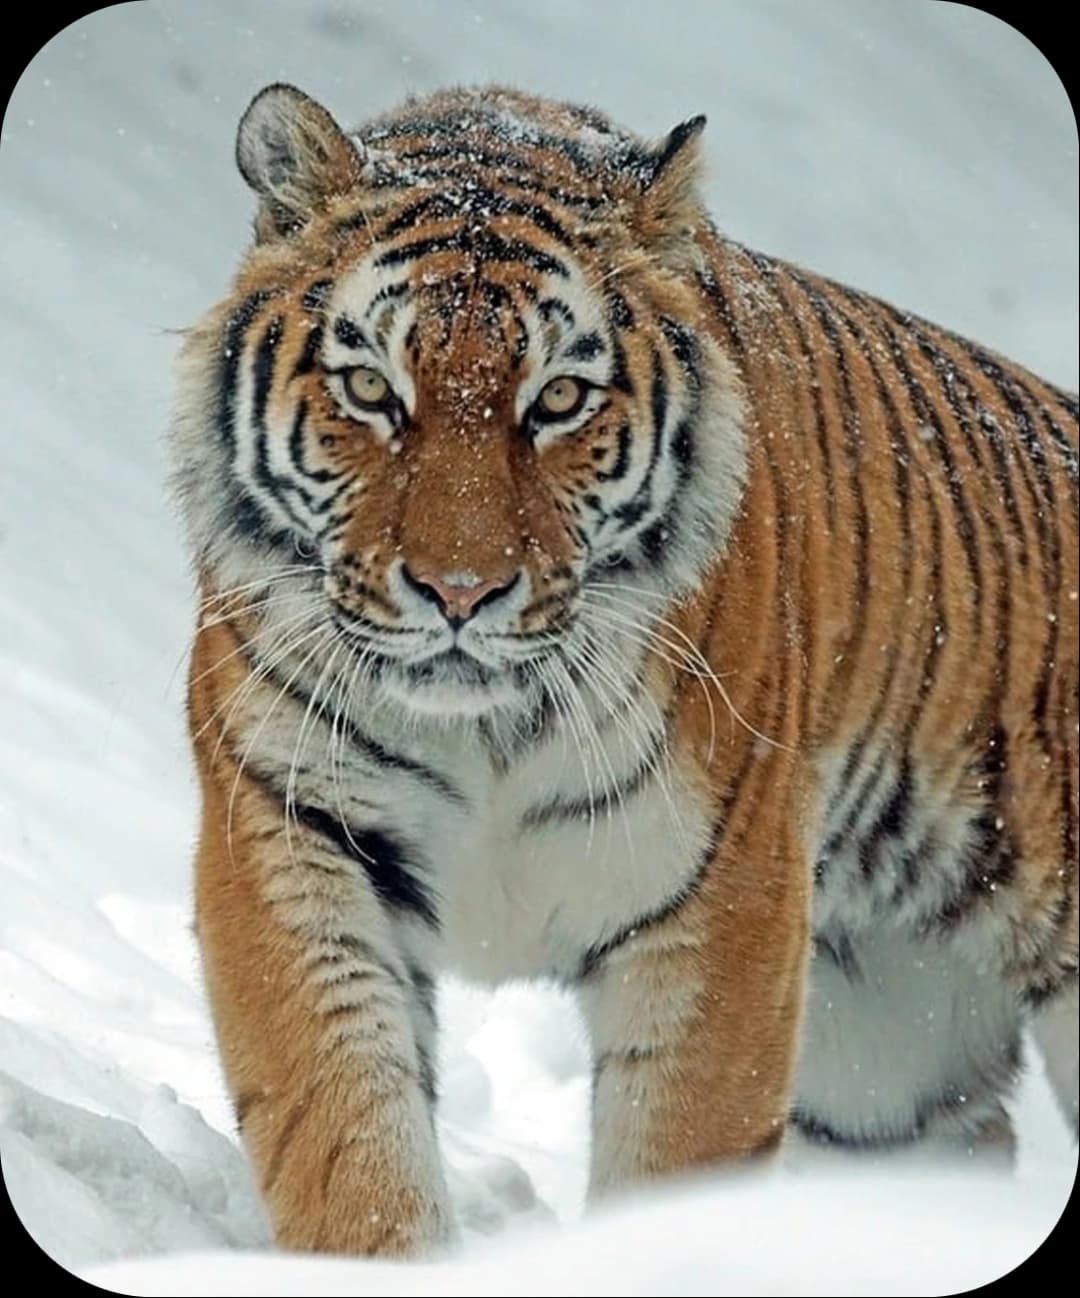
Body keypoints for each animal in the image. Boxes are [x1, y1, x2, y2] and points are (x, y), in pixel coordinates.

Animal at [171, 82, 1079, 1256]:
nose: (459, 591)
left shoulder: (720, 903)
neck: (485, 729)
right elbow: (346, 1135)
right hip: (888, 1059)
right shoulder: (292, 834)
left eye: (559, 400)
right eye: (371, 387)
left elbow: (676, 1160)